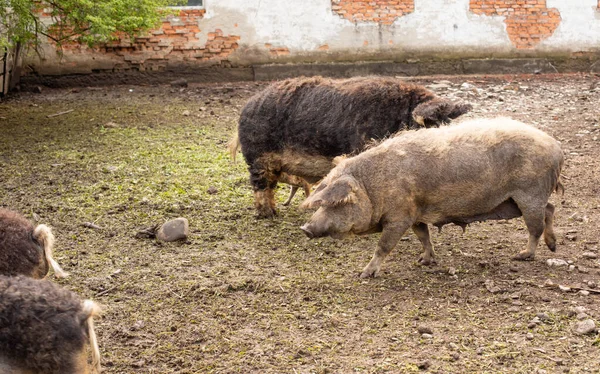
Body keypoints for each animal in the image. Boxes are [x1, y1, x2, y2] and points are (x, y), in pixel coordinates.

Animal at [302, 117, 564, 278]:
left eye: (338, 203)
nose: (305, 228)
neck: (373, 187)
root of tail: (557, 147)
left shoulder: (399, 217)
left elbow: (383, 246)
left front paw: (364, 274)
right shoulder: (416, 213)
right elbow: (423, 236)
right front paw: (424, 261)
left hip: (529, 193)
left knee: (536, 227)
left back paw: (522, 255)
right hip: (516, 201)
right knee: (550, 209)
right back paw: (552, 247)